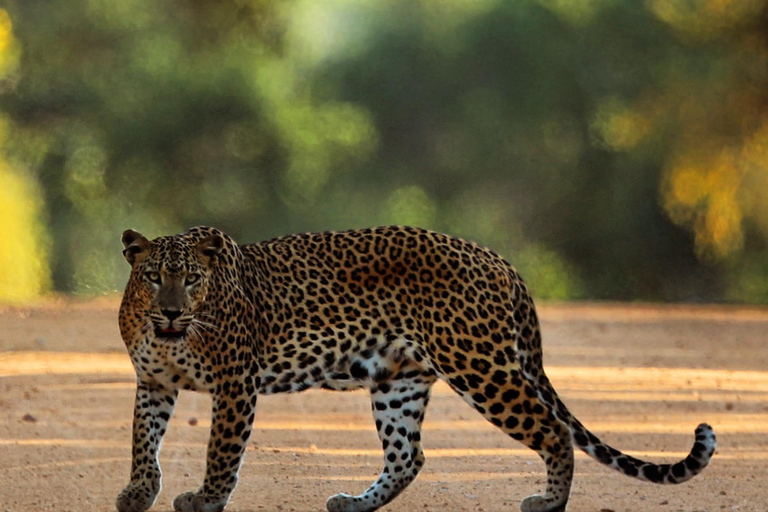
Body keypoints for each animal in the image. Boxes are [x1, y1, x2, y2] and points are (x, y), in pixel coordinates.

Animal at [117, 226, 716, 512]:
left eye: (192, 279)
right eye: (152, 277)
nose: (171, 311)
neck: (168, 333)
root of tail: (500, 261)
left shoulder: (236, 383)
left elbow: (222, 450)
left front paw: (206, 500)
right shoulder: (153, 384)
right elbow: (143, 442)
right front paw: (138, 494)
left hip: (480, 365)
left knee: (552, 431)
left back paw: (548, 504)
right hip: (398, 380)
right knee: (408, 455)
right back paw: (353, 504)